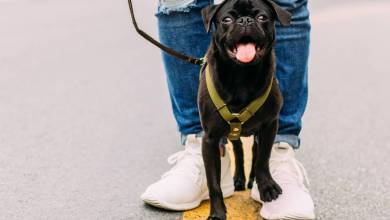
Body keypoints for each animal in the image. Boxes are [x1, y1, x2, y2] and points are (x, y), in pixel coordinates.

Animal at [200, 0, 290, 218]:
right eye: (226, 20)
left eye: (262, 17)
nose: (245, 20)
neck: (242, 76)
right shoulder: (210, 140)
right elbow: (213, 182)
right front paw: (217, 213)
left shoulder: (269, 126)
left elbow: (263, 159)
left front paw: (266, 186)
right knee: (238, 149)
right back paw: (239, 179)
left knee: (255, 151)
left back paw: (252, 180)